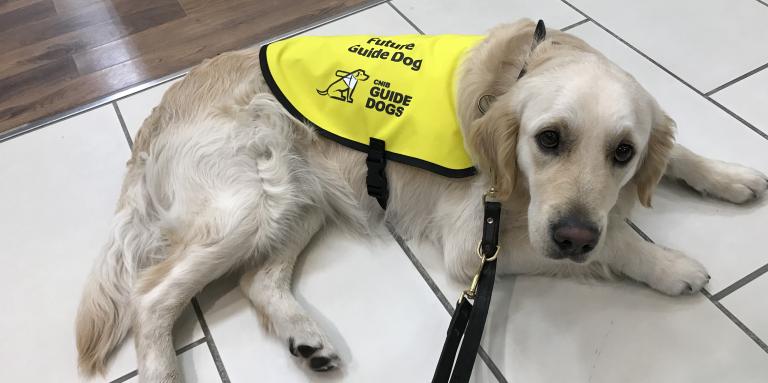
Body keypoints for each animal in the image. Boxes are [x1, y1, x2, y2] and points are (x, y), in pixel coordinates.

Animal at [76, 19, 768, 382]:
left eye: (624, 152)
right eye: (548, 139)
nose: (574, 234)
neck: (518, 73)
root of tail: (160, 111)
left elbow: (676, 152)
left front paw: (731, 174)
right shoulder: (476, 243)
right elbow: (617, 242)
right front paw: (669, 264)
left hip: (298, 200)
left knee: (256, 282)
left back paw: (307, 338)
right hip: (252, 203)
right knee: (151, 296)